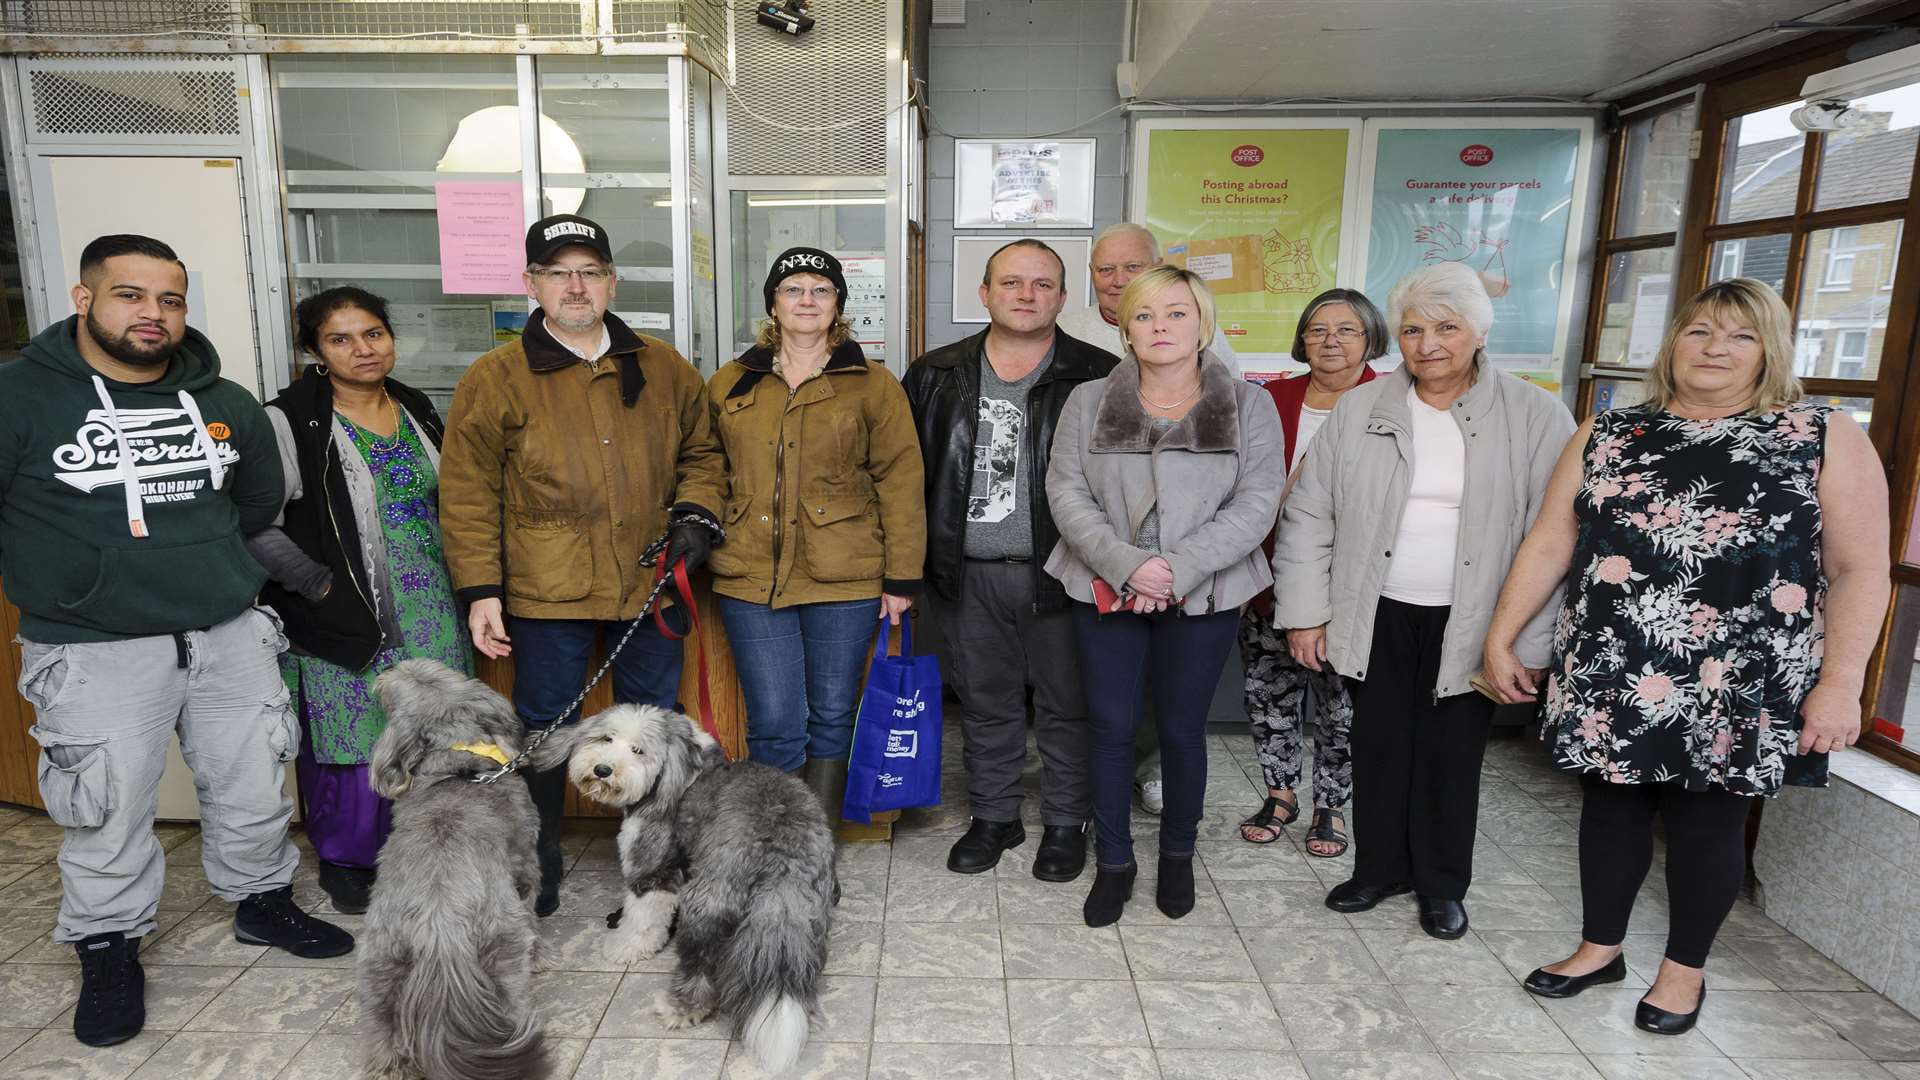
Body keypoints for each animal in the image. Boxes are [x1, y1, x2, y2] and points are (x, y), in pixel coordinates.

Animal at [360, 657, 549, 1076]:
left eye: (429, 670)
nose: (391, 666)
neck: (457, 765)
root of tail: (438, 924)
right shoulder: (526, 868)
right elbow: (533, 911)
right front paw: (542, 956)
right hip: (504, 944)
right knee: (512, 997)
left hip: (380, 960)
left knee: (381, 1028)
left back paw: (389, 1067)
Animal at [541, 699, 840, 1068]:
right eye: (607, 738)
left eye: (639, 750)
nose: (602, 769)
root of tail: (780, 854)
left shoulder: (652, 863)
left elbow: (642, 916)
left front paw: (625, 947)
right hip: (803, 913)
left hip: (707, 903)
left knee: (699, 961)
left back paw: (680, 1008)